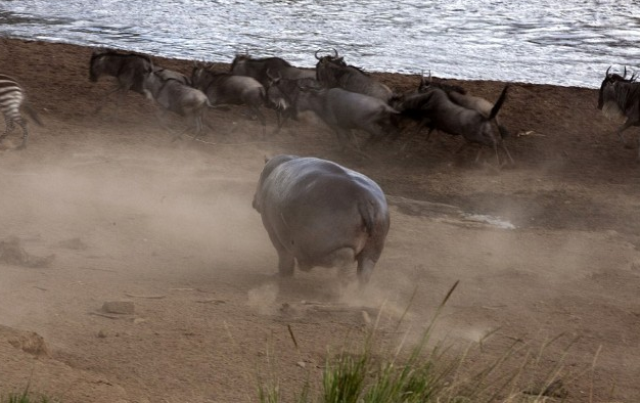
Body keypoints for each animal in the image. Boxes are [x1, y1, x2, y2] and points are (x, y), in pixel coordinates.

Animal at [252, 155, 388, 284]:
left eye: (260, 173)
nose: (253, 201)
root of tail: (364, 199)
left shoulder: (273, 232)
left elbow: (284, 258)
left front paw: (278, 277)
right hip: (373, 249)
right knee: (364, 273)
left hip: (320, 249)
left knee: (345, 261)